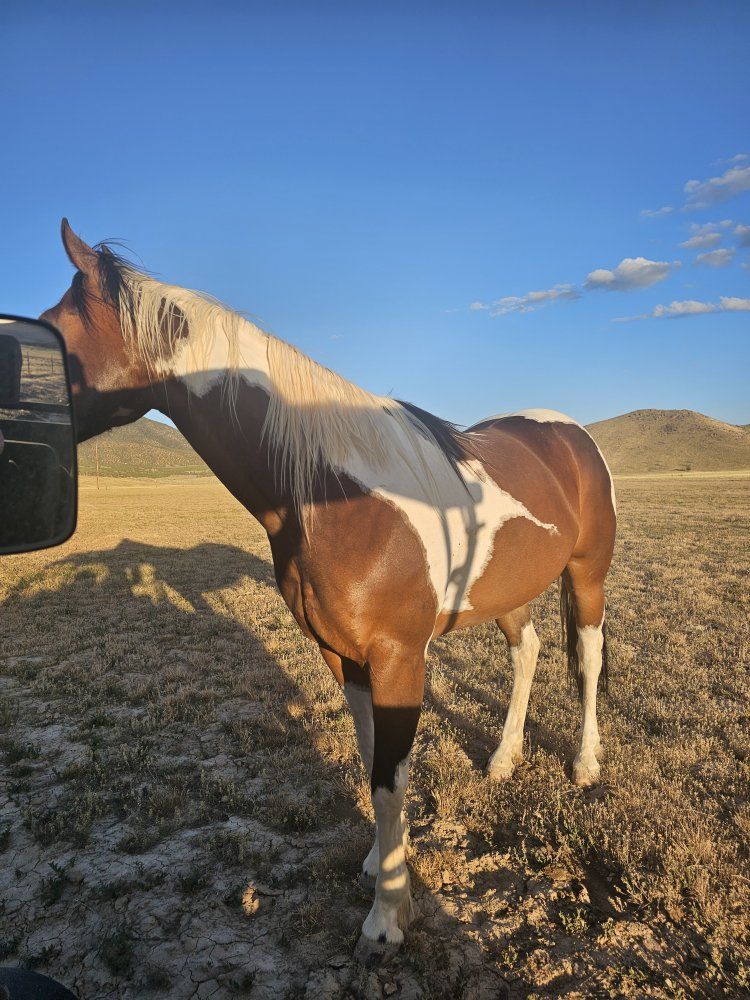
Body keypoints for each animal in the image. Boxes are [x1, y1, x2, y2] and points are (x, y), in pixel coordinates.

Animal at [41, 219, 616, 952]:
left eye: (49, 335)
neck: (332, 494)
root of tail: (571, 434)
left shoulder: (398, 658)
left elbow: (390, 779)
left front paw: (388, 914)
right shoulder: (343, 655)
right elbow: (372, 764)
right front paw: (379, 860)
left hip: (588, 573)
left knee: (588, 658)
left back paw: (585, 764)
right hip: (508, 592)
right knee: (530, 651)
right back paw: (504, 761)